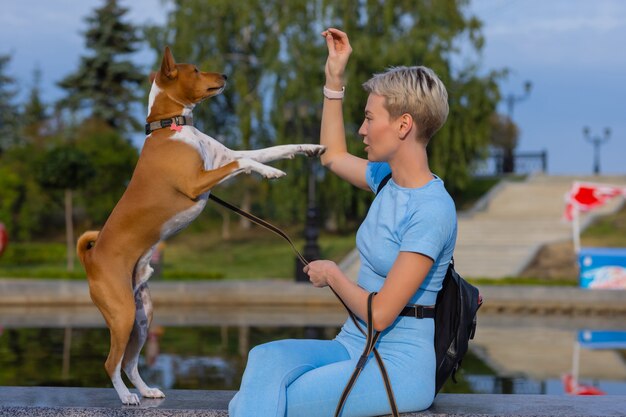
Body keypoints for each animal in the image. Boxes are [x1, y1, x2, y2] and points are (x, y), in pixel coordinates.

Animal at [75, 46, 324, 404]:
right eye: (195, 69)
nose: (225, 75)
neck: (172, 128)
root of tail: (90, 258)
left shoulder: (223, 158)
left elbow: (269, 150)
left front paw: (309, 148)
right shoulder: (197, 182)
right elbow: (246, 161)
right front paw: (271, 173)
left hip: (142, 316)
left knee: (131, 362)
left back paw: (146, 390)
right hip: (121, 314)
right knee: (112, 362)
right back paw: (126, 396)